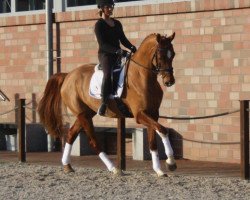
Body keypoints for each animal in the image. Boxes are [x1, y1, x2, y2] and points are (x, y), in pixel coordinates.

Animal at [38, 32, 177, 177]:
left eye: (173, 54)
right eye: (160, 56)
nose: (169, 81)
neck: (142, 76)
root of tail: (68, 76)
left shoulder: (153, 114)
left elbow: (153, 141)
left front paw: (159, 170)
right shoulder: (140, 115)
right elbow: (163, 130)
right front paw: (171, 162)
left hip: (86, 113)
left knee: (71, 134)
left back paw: (67, 165)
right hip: (83, 115)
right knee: (93, 141)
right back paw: (113, 168)